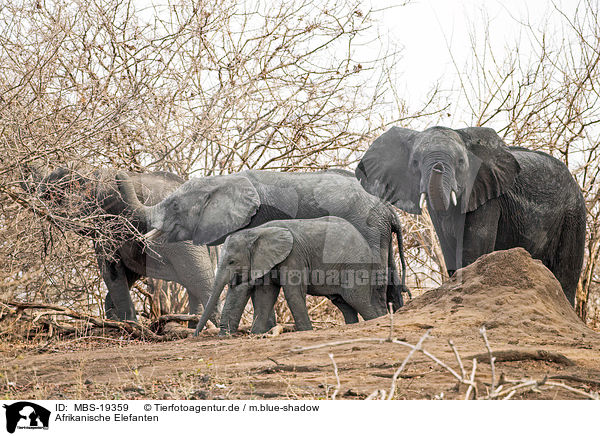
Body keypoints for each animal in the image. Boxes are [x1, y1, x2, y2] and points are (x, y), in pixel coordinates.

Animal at [22, 167, 216, 324]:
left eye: (53, 195)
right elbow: (126, 273)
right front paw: (118, 321)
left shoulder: (107, 220)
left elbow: (110, 268)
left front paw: (130, 325)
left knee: (195, 277)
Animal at [195, 216, 386, 336]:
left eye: (232, 261)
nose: (196, 334)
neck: (257, 231)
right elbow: (265, 295)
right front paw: (256, 334)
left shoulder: (294, 256)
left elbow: (292, 292)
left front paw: (306, 332)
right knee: (343, 303)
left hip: (355, 266)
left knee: (357, 299)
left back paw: (377, 321)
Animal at [356, 124, 584, 304]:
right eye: (414, 163)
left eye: (460, 162)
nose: (437, 168)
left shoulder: (488, 196)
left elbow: (473, 250)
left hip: (573, 214)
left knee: (566, 275)